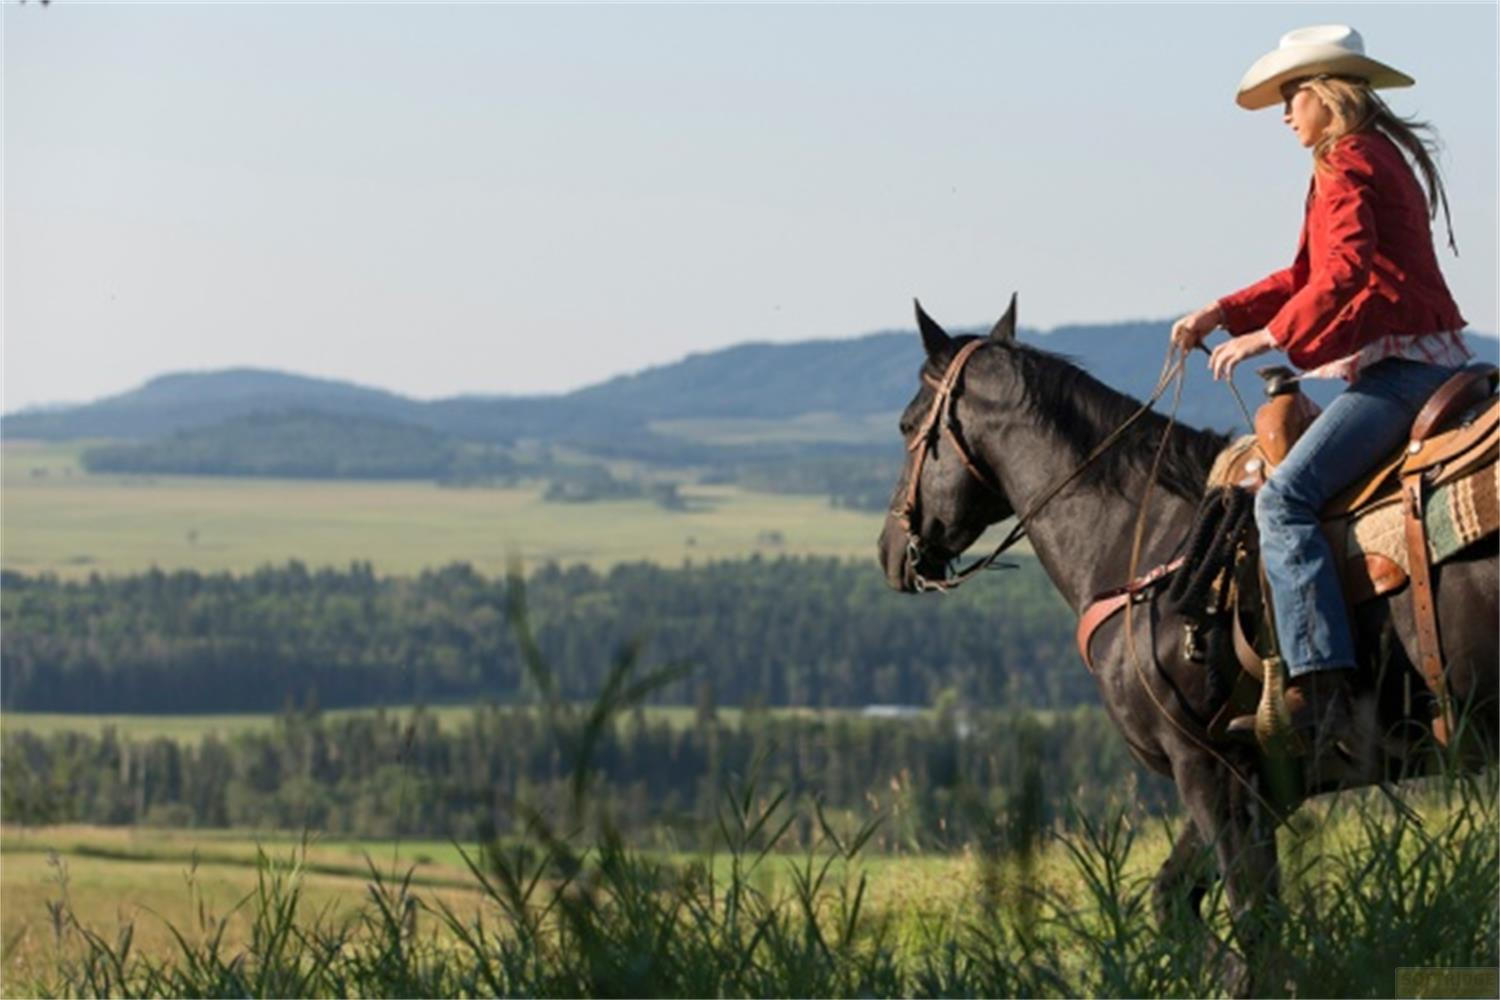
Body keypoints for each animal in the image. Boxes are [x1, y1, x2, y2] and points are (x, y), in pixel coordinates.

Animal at [876, 296, 1499, 993]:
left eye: (907, 425)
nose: (889, 553)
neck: (1146, 538)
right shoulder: (1267, 779)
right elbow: (1174, 901)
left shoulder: (1209, 766)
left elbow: (1255, 922)